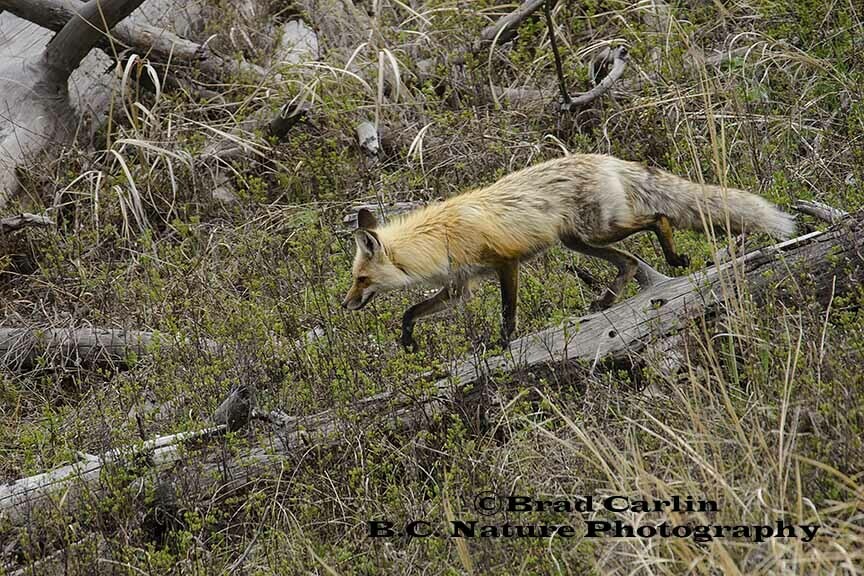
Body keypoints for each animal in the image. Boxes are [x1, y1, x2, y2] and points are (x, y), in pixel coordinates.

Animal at [341, 153, 795, 351]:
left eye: (361, 279)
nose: (345, 305)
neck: (440, 239)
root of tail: (604, 157)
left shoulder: (505, 262)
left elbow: (508, 312)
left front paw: (502, 345)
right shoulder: (459, 288)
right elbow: (410, 311)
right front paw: (407, 340)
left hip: (599, 229)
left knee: (660, 218)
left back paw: (672, 259)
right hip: (579, 241)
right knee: (629, 263)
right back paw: (606, 300)